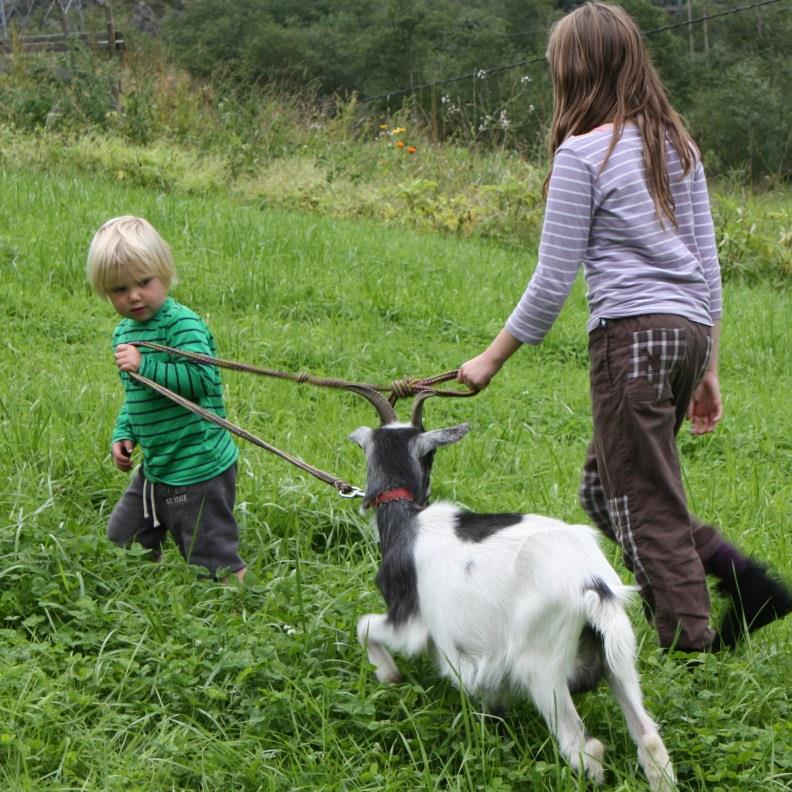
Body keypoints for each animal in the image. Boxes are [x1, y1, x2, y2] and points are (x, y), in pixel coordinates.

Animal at [350, 392, 676, 792]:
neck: (406, 520)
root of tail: (592, 584)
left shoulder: (409, 621)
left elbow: (365, 625)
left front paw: (388, 675)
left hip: (542, 665)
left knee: (581, 746)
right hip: (619, 655)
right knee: (649, 738)